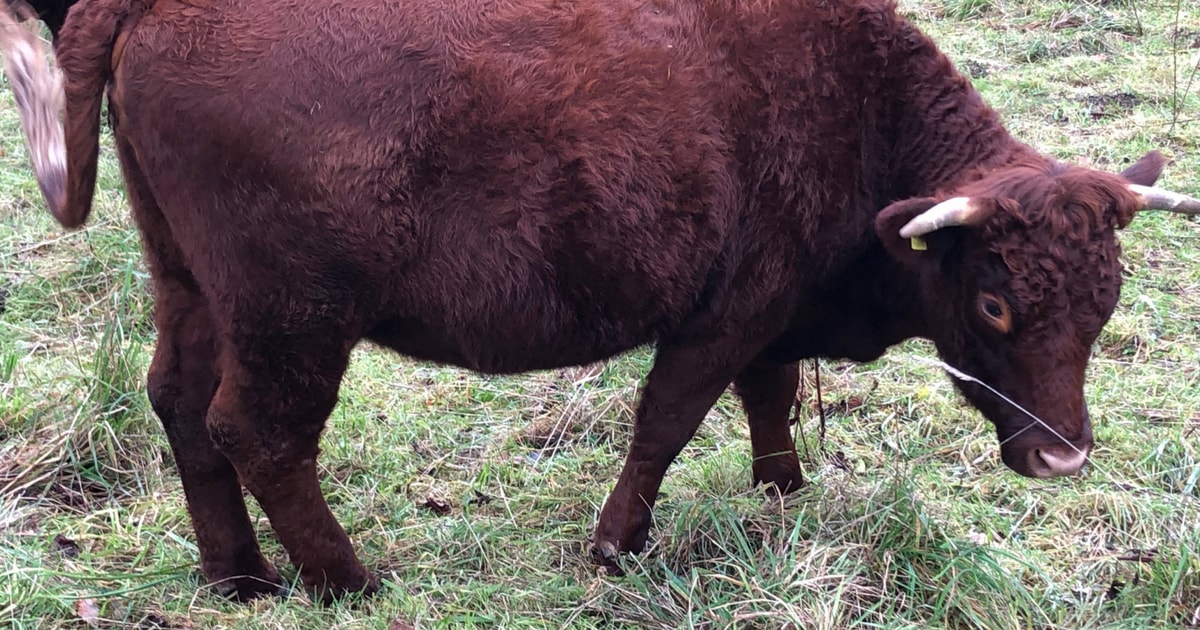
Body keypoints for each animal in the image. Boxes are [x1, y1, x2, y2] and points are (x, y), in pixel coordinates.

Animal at [2, 0, 1198, 605]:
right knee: (257, 431)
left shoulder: (769, 309)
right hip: (293, 318)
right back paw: (343, 579)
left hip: (188, 285)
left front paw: (781, 494)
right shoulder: (724, 310)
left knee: (177, 404)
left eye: (1105, 303)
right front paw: (617, 548)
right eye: (995, 306)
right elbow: (665, 422)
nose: (1064, 457)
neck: (852, 99)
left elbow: (768, 397)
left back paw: (239, 576)